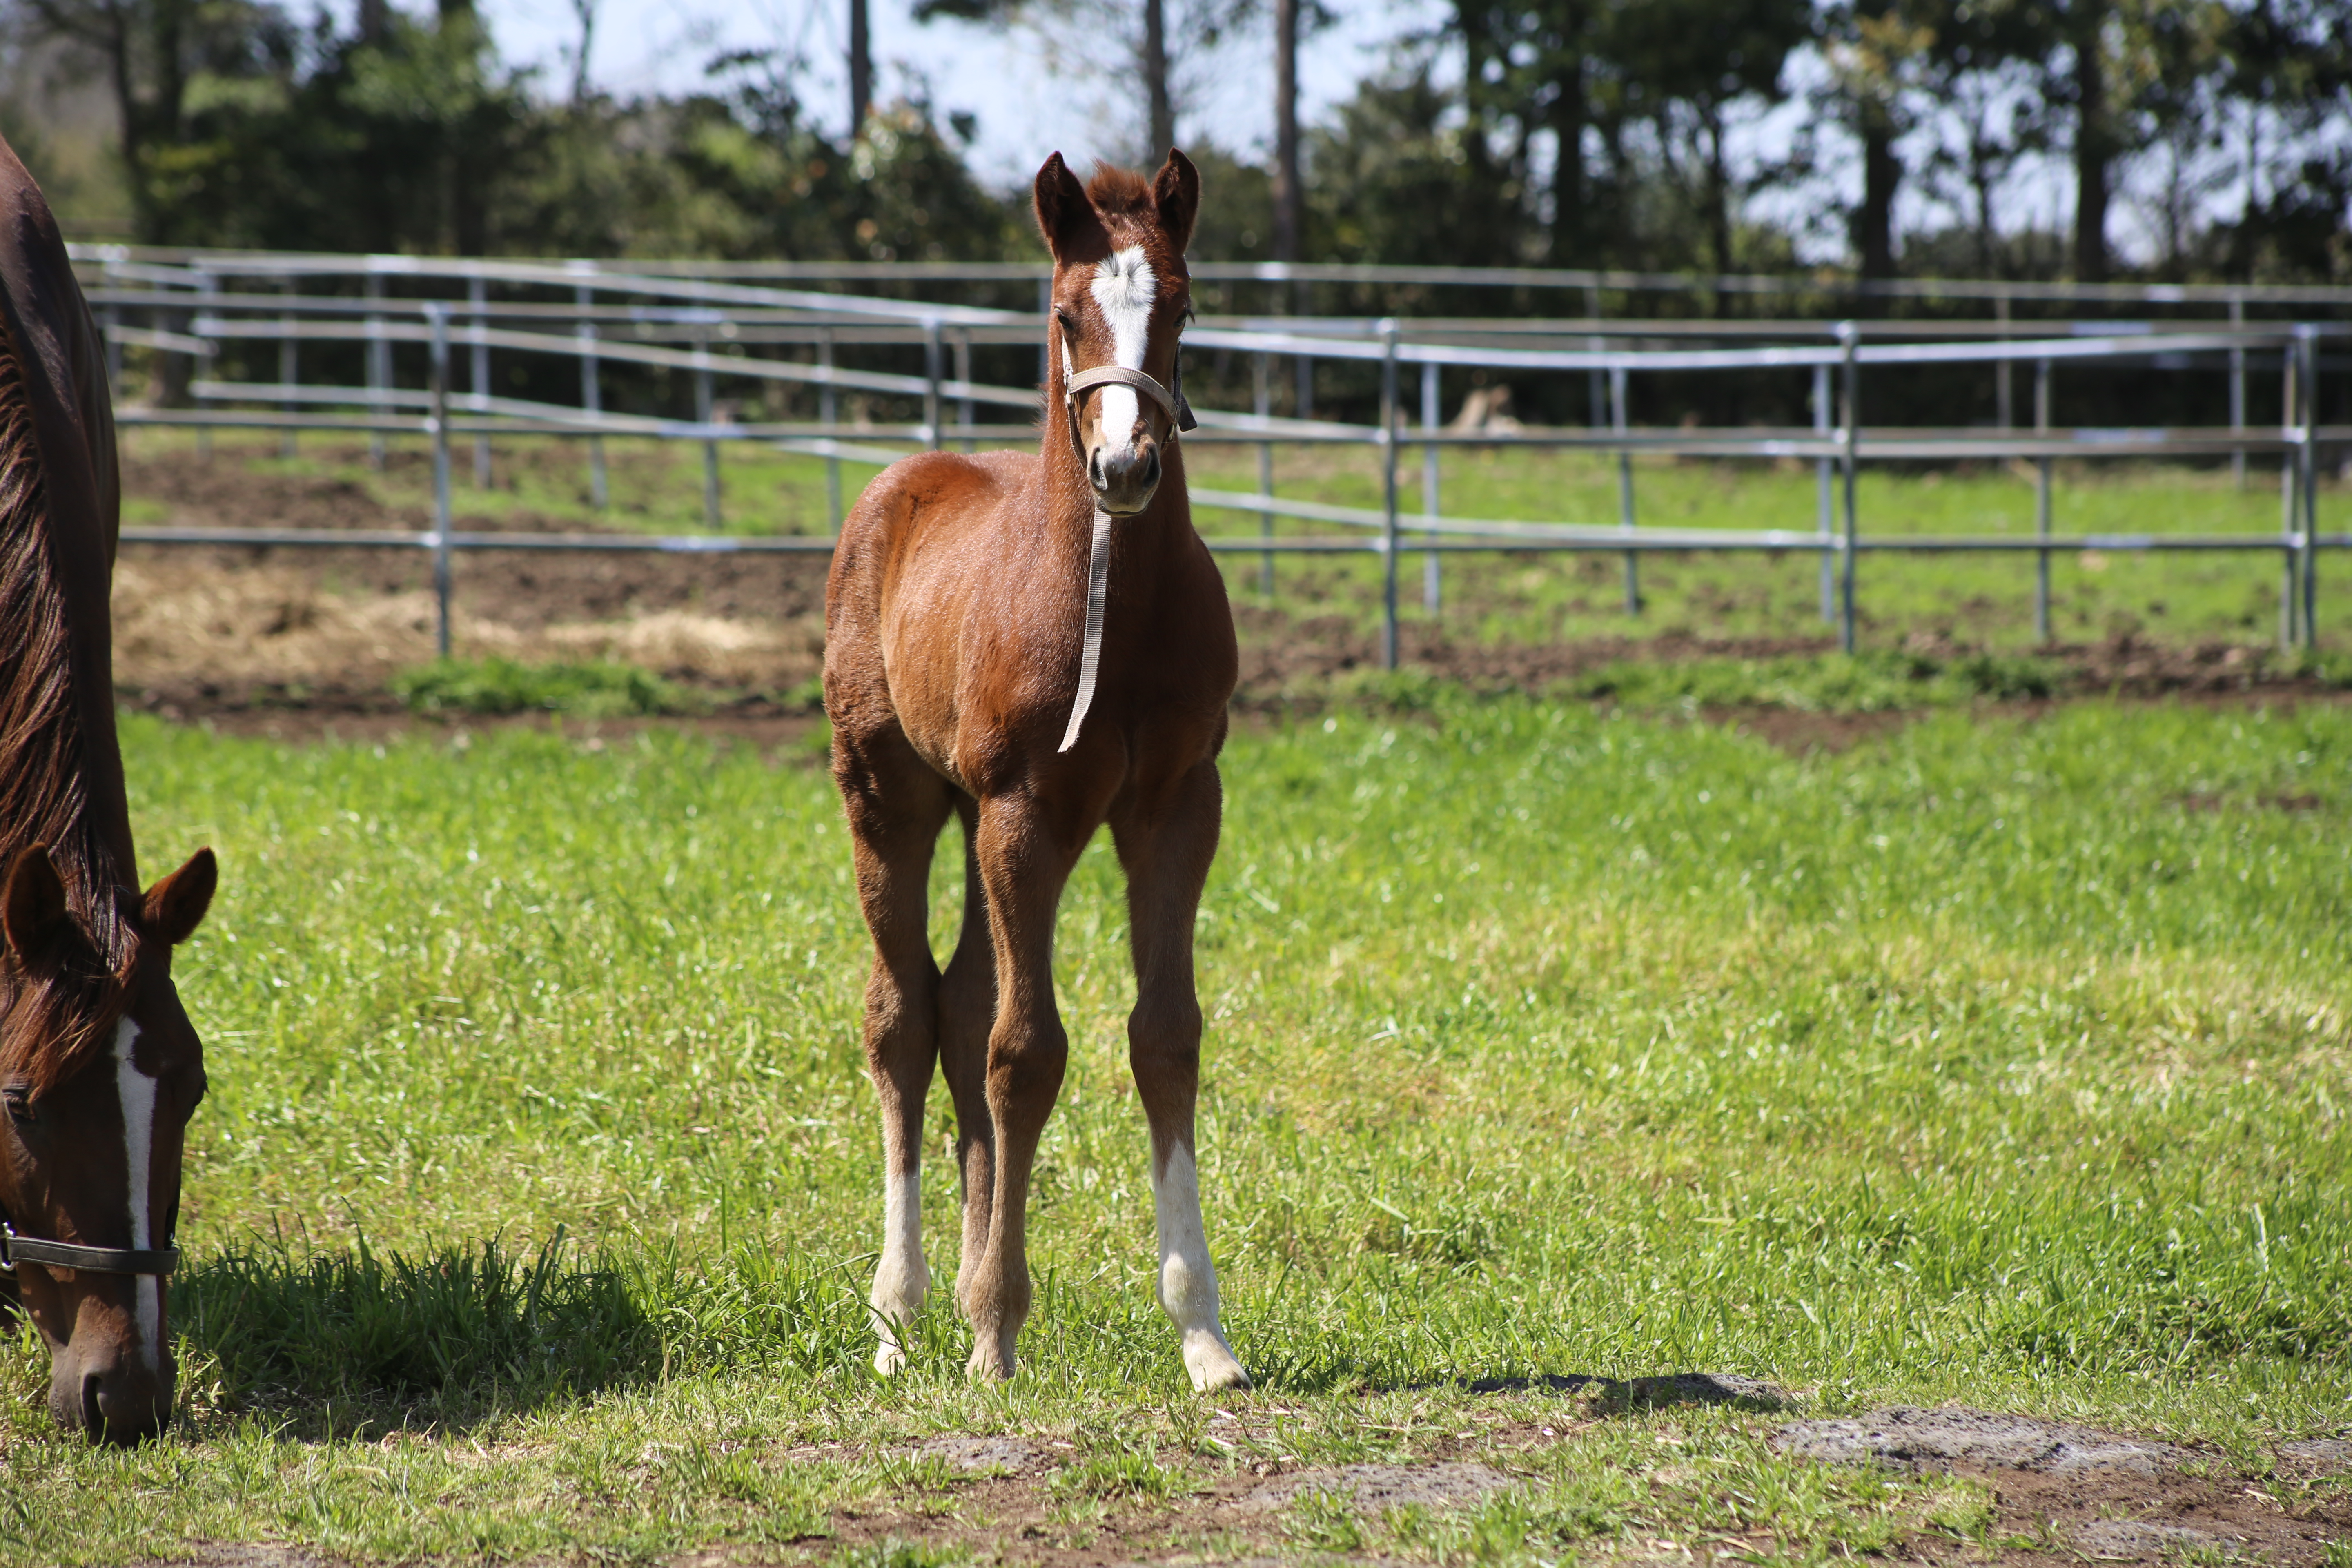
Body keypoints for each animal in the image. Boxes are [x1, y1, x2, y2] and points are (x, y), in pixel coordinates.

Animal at [823, 153, 1251, 1392]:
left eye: (1182, 307)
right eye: (1066, 315)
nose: (1125, 465)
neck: (1114, 598)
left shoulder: (1177, 806)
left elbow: (1163, 1036)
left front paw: (1203, 1335)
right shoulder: (1027, 812)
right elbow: (1026, 1050)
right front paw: (996, 1329)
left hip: (973, 815)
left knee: (960, 999)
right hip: (893, 800)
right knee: (901, 1016)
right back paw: (900, 1311)